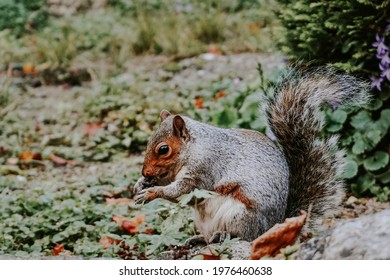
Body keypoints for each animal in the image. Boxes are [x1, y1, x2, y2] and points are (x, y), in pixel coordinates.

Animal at [134, 66, 368, 242]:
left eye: (163, 149)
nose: (145, 173)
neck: (193, 149)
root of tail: (274, 225)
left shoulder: (205, 170)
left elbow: (183, 191)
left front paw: (151, 193)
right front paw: (140, 184)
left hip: (241, 216)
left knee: (244, 236)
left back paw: (223, 235)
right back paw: (200, 238)